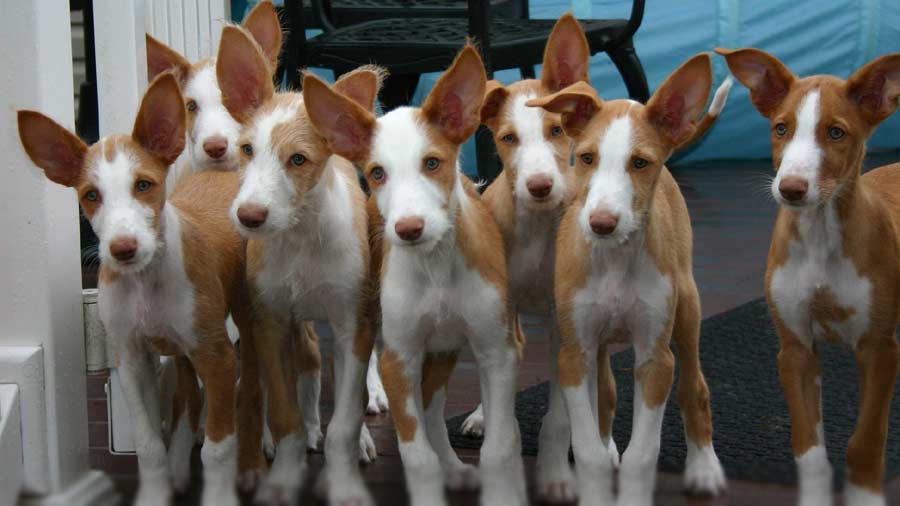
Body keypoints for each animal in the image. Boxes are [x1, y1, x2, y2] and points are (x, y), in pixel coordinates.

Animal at [18, 74, 250, 506]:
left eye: (144, 185)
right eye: (91, 196)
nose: (122, 249)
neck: (145, 281)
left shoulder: (217, 356)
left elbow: (218, 446)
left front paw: (218, 496)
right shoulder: (131, 358)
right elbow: (148, 444)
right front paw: (156, 492)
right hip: (181, 351)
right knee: (187, 399)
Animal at [217, 24, 380, 506]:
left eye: (298, 160)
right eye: (246, 150)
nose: (249, 216)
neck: (301, 236)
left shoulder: (351, 322)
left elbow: (344, 418)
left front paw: (345, 482)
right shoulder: (268, 319)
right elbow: (285, 410)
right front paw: (283, 477)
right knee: (303, 360)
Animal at [302, 45, 528, 504]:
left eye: (432, 163)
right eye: (377, 173)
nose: (408, 229)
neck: (435, 265)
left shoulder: (496, 350)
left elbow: (499, 445)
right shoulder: (400, 357)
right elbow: (417, 453)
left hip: (447, 347)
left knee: (435, 405)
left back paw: (455, 466)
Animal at [532, 53, 728, 504]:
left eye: (639, 163)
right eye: (586, 157)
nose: (601, 223)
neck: (615, 259)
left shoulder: (656, 359)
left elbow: (643, 453)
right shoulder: (574, 353)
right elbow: (587, 448)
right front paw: (596, 483)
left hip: (687, 309)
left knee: (696, 389)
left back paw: (704, 468)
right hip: (599, 341)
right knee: (605, 392)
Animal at [716, 46, 900, 506]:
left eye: (836, 133)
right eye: (781, 128)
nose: (791, 189)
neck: (820, 235)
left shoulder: (879, 347)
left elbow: (865, 441)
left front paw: (866, 495)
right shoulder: (795, 348)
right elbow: (808, 446)